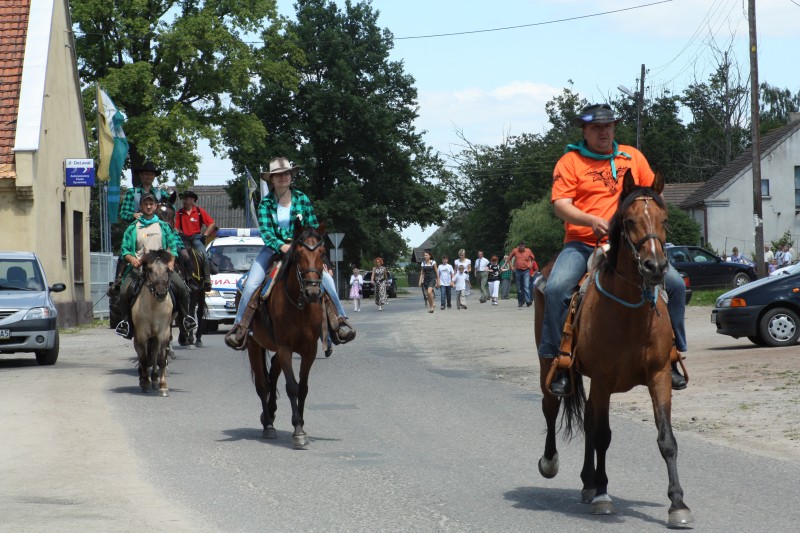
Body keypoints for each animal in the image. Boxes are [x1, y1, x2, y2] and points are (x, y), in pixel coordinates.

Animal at [131, 249, 173, 394]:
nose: (161, 293)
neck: (154, 307)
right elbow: (143, 358)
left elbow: (161, 359)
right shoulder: (142, 334)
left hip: (155, 337)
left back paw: (154, 379)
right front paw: (144, 382)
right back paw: (144, 378)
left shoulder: (163, 333)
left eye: (167, 269)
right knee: (141, 354)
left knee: (154, 354)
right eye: (149, 269)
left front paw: (163, 385)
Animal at [247, 220, 328, 448]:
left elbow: (303, 388)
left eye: (323, 253)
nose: (312, 292)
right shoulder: (285, 347)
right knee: (262, 385)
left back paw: (271, 413)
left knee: (272, 373)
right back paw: (268, 425)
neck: (299, 306)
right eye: (299, 254)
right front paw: (298, 430)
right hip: (254, 345)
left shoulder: (310, 350)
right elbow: (292, 386)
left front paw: (301, 426)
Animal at [532, 170, 692, 528]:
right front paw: (604, 497)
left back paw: (588, 483)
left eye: (664, 218)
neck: (630, 313)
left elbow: (667, 439)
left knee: (588, 420)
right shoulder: (604, 378)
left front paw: (678, 504)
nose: (655, 267)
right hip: (549, 365)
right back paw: (552, 464)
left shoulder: (659, 376)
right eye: (630, 220)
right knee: (551, 407)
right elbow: (603, 435)